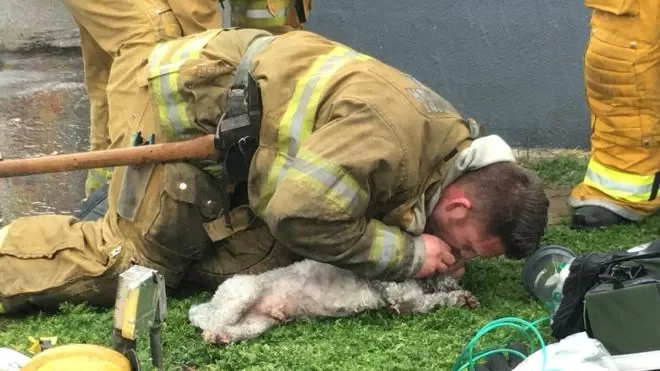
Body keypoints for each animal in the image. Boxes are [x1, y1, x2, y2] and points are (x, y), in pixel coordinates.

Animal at [188, 258, 476, 346]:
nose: (460, 280)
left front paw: (463, 297)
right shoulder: (403, 298)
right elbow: (431, 301)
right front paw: (460, 297)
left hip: (257, 323)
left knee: (235, 329)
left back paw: (223, 338)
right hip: (243, 292)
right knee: (211, 323)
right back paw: (213, 335)